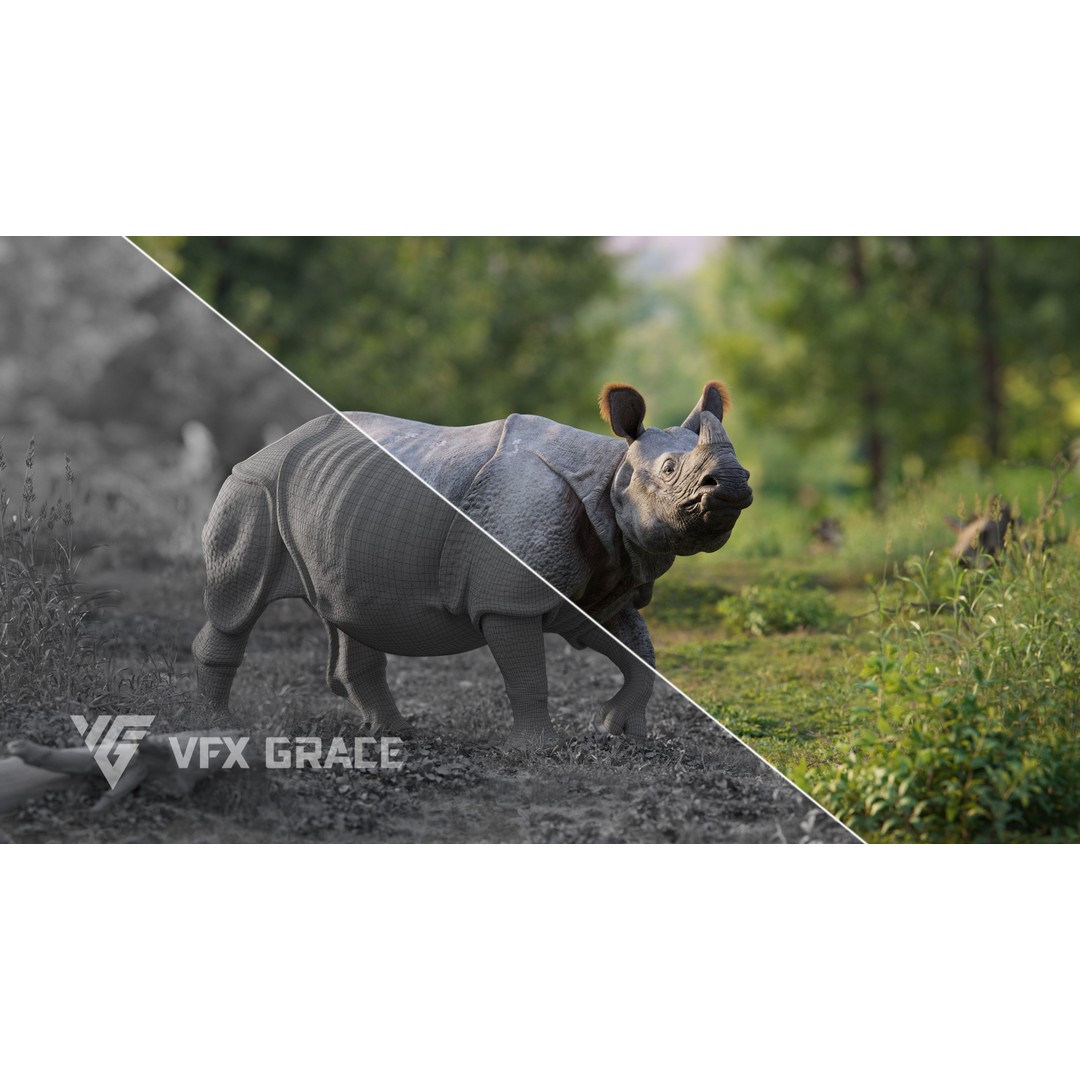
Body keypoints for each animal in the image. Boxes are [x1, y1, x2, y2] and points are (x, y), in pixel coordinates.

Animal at [193, 382, 752, 748]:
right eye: (670, 468)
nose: (734, 483)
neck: (610, 474)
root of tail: (273, 443)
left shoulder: (598, 582)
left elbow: (641, 652)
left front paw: (622, 733)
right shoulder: (509, 597)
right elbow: (527, 672)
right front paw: (538, 751)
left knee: (347, 610)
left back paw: (396, 733)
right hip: (253, 486)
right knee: (237, 604)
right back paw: (220, 728)